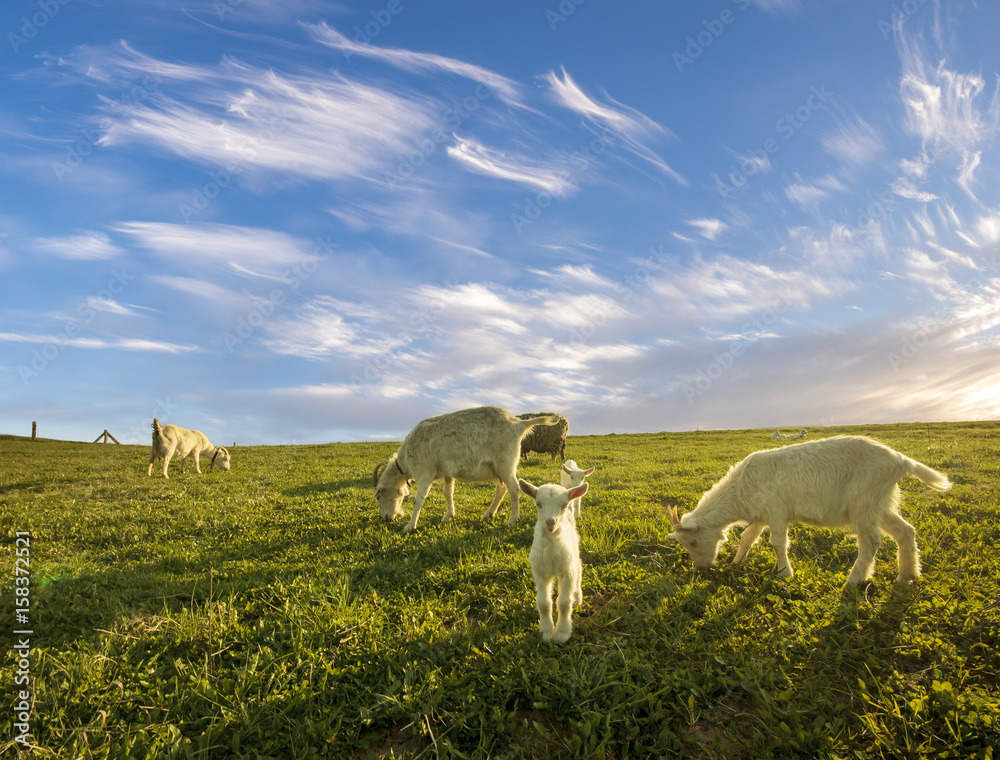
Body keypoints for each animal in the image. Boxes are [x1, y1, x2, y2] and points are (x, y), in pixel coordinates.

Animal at [372, 406, 559, 533]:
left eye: (379, 496)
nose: (385, 518)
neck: (405, 459)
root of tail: (519, 423)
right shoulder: (447, 473)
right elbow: (448, 492)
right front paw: (448, 516)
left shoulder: (425, 472)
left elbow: (419, 500)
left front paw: (409, 526)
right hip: (494, 467)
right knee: (502, 488)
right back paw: (488, 514)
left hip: (505, 461)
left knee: (513, 488)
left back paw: (512, 520)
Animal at [519, 478, 589, 644]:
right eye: (538, 503)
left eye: (563, 505)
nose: (550, 522)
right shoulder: (540, 572)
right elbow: (544, 603)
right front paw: (546, 633)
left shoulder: (567, 570)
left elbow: (563, 603)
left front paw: (562, 634)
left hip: (574, 551)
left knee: (579, 569)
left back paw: (577, 597)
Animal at [667, 435, 950, 587]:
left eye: (693, 541)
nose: (703, 569)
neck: (740, 488)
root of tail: (901, 460)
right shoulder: (761, 515)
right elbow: (747, 537)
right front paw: (737, 562)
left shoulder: (777, 511)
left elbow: (778, 543)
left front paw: (785, 574)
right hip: (880, 504)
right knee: (905, 531)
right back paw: (907, 576)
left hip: (864, 501)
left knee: (870, 541)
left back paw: (852, 582)